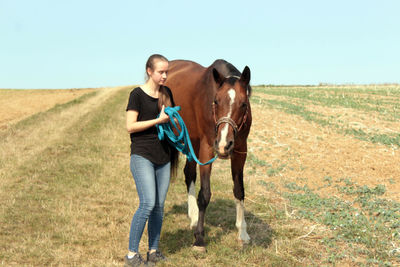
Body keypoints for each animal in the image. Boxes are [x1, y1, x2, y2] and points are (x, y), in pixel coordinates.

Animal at [164, 58, 252, 251]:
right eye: (216, 101)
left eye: (244, 104)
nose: (224, 145)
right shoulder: (206, 148)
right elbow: (204, 194)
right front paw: (199, 239)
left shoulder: (240, 151)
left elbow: (239, 190)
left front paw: (242, 232)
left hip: (192, 140)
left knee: (189, 173)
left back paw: (194, 216)